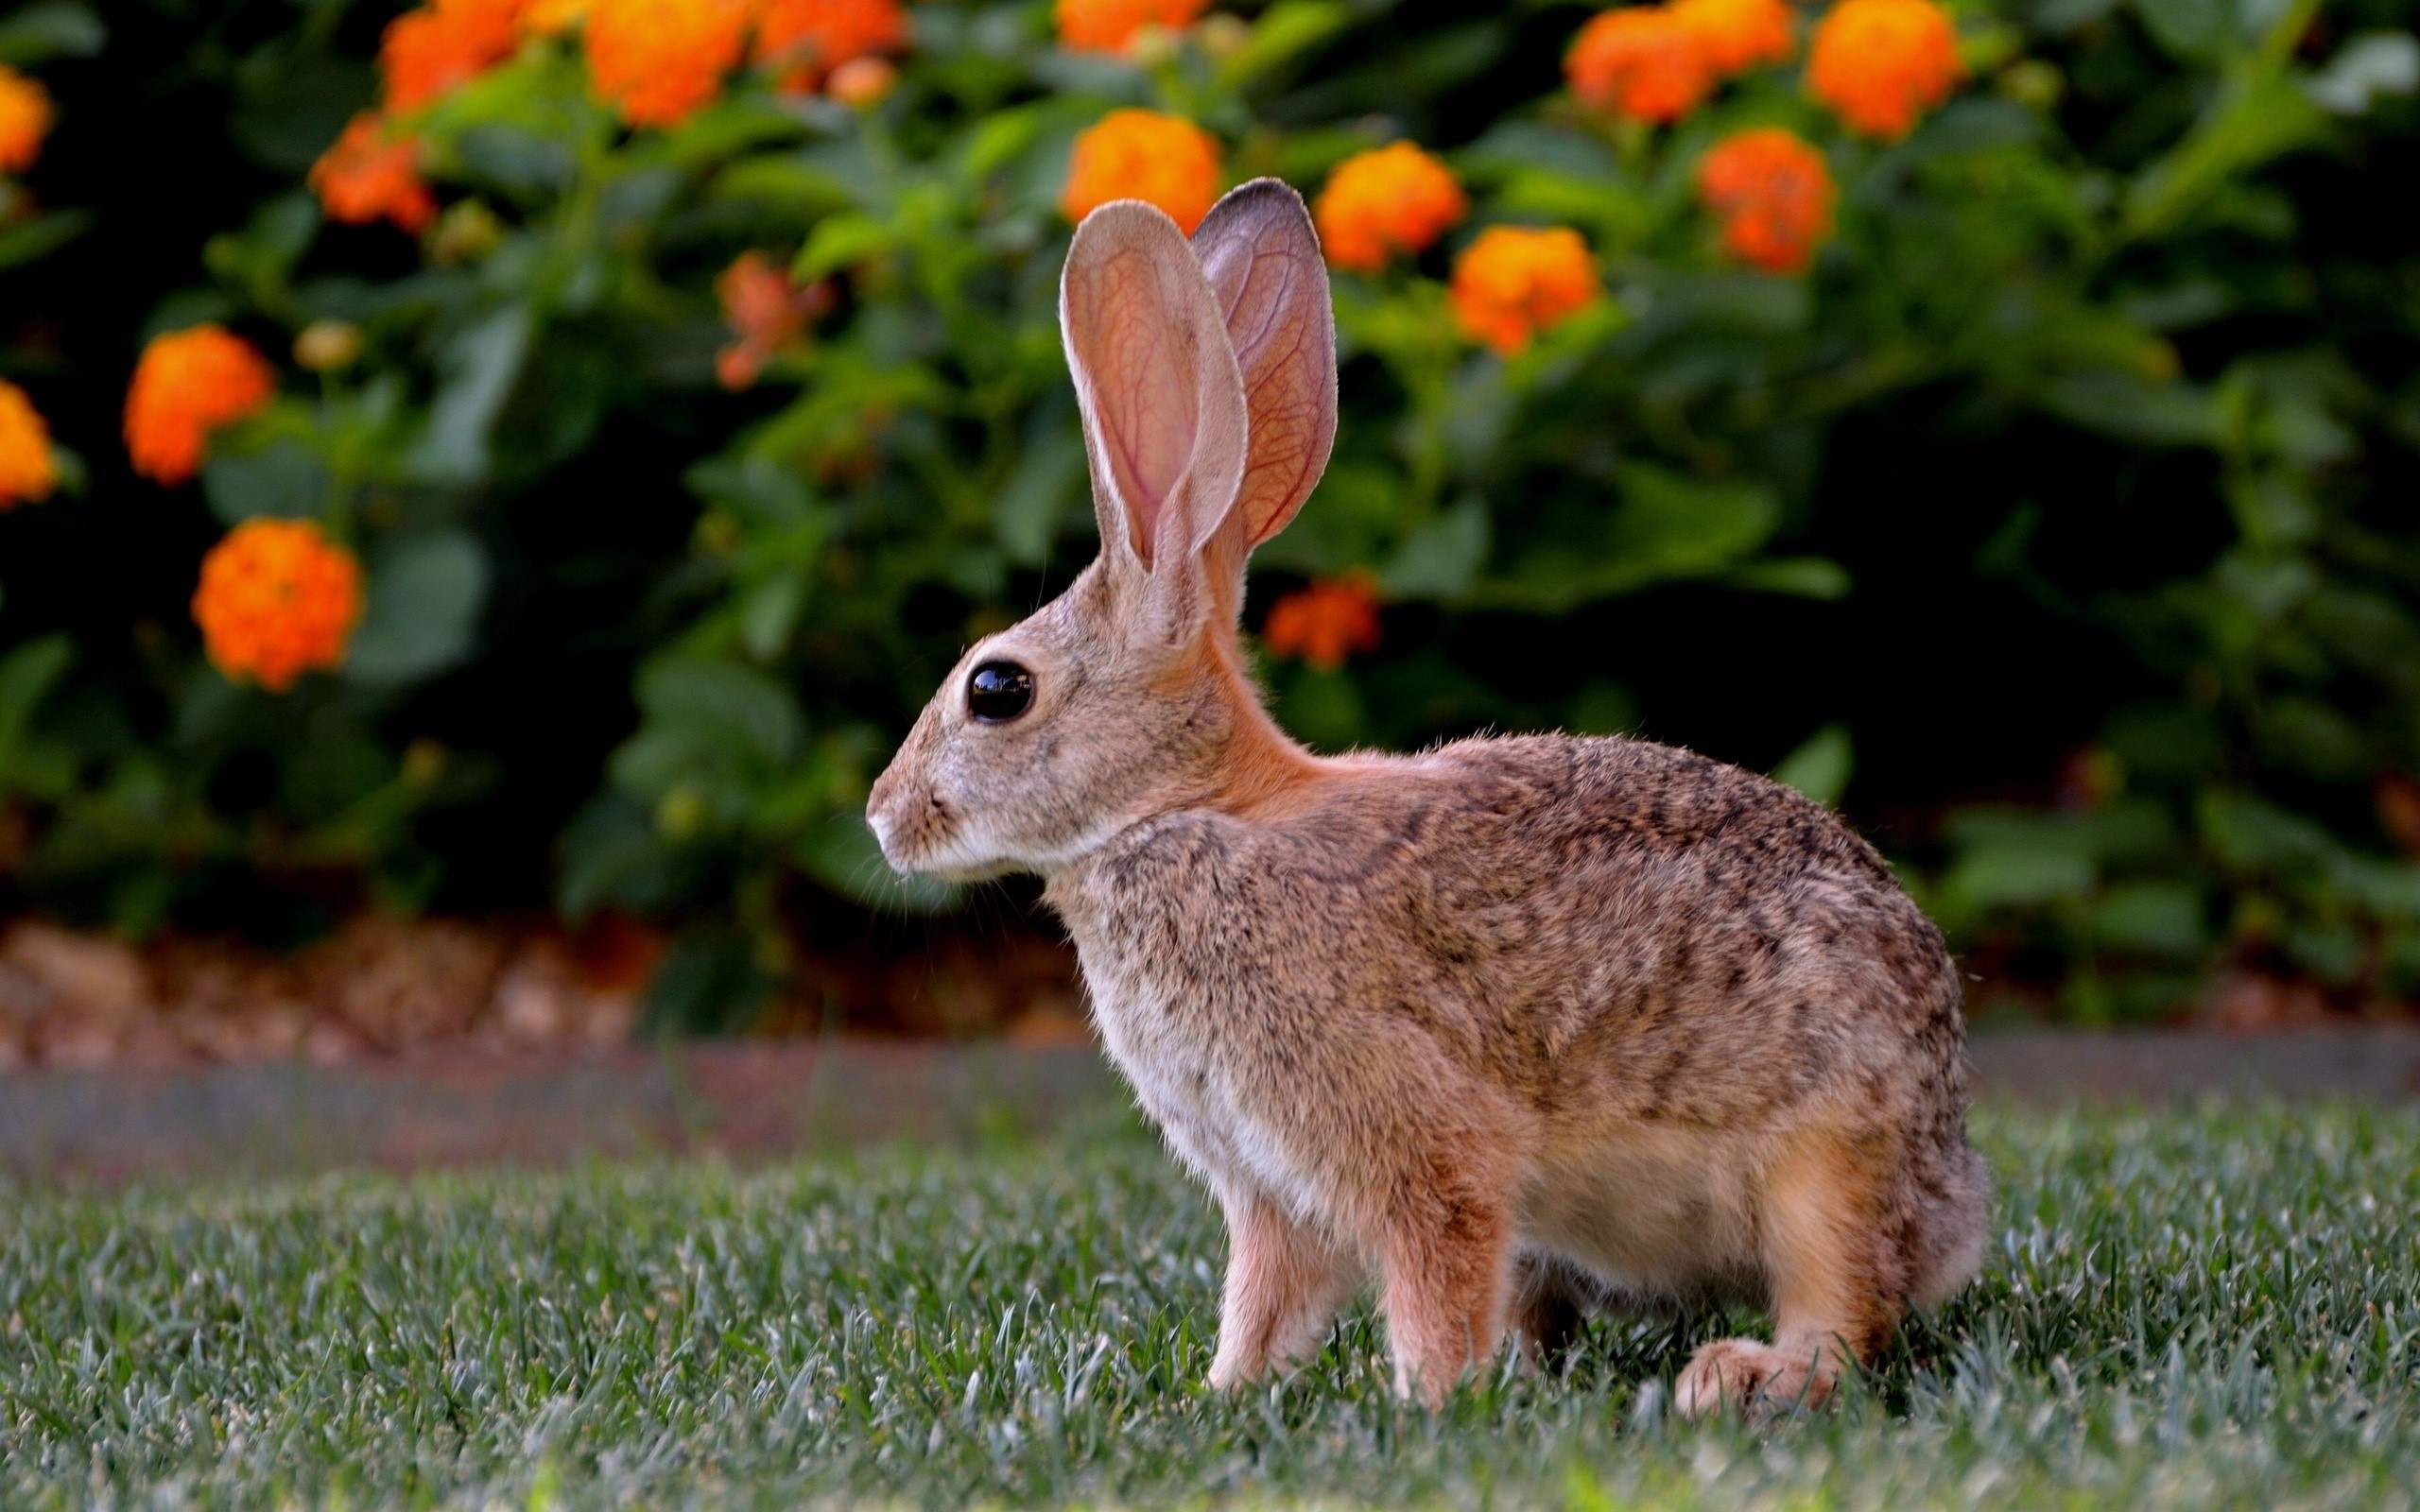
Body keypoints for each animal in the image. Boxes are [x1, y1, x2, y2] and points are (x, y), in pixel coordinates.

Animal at [866, 179, 1988, 1415]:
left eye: (996, 688)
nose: (882, 815)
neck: (1188, 811)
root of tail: (1953, 1198)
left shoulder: (1404, 1133)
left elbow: (1428, 1261)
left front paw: (1427, 1404)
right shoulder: (1267, 1184)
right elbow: (1267, 1296)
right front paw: (1225, 1394)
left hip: (1826, 1159)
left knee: (1846, 1311)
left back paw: (1742, 1377)